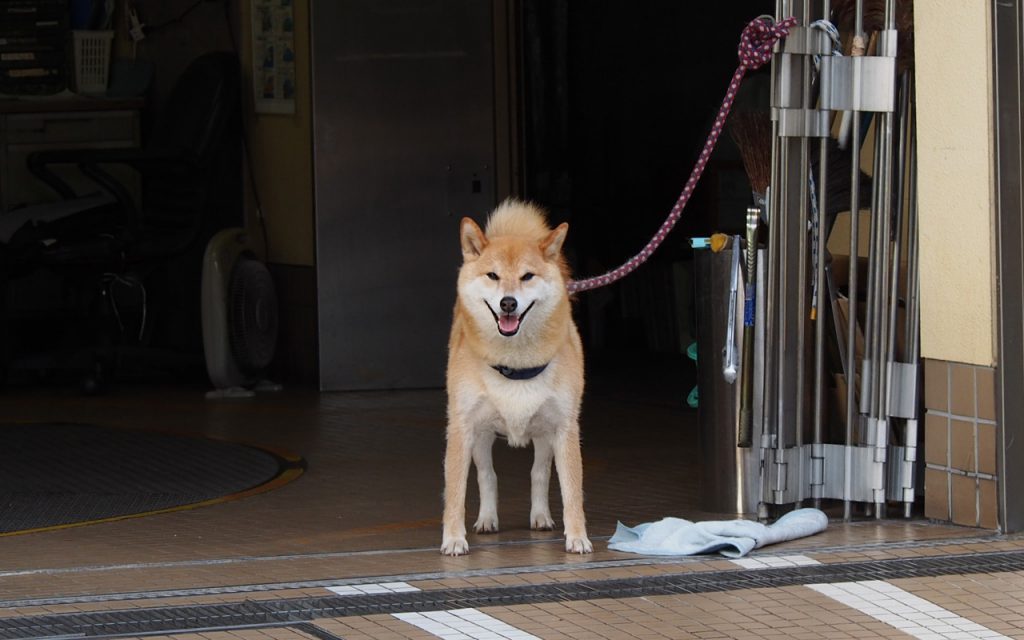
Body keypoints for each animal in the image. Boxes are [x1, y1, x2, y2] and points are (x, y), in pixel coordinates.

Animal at [440, 198, 593, 552]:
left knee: (539, 473)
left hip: (544, 434)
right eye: (493, 275)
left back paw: (540, 517)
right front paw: (453, 538)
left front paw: (577, 536)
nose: (508, 303)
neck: (515, 364)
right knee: (487, 476)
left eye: (527, 276)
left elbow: (572, 490)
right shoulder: (462, 426)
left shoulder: (565, 426)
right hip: (481, 434)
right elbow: (455, 492)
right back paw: (486, 519)